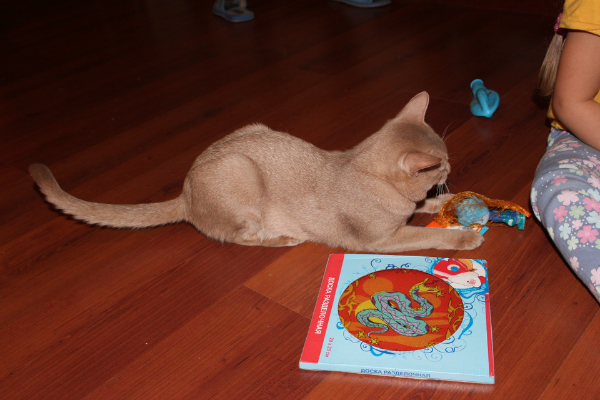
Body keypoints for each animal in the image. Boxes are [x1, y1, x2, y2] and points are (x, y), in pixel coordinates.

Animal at [29, 92, 484, 252]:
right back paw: (284, 238)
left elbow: (424, 207)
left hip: (252, 128)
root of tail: (186, 193)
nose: (452, 167)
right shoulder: (380, 241)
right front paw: (464, 236)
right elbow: (425, 234)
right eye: (442, 161)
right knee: (238, 237)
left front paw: (452, 201)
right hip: (240, 170)